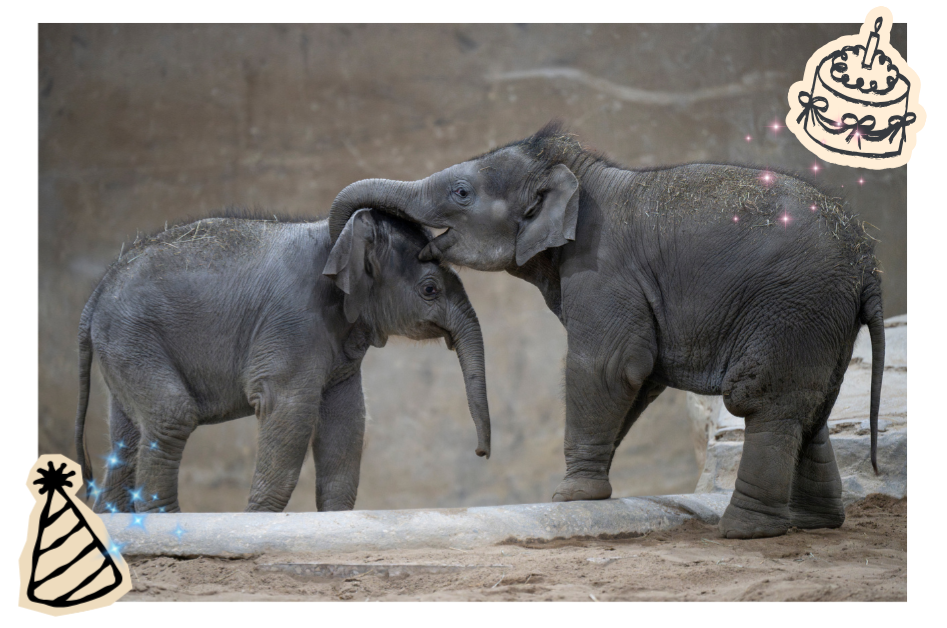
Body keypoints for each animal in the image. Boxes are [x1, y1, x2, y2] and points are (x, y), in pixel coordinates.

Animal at [74, 209, 491, 514]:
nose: (481, 453)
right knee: (170, 416)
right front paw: (257, 520)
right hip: (131, 337)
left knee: (128, 436)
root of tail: (97, 291)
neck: (338, 238)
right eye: (429, 289)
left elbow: (347, 419)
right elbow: (290, 411)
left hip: (125, 347)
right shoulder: (293, 322)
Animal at [326, 121, 886, 539]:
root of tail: (866, 259)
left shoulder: (603, 268)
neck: (580, 176)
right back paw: (815, 523)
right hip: (820, 317)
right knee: (811, 406)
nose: (482, 453)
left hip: (792, 303)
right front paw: (586, 487)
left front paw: (568, 495)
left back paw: (744, 530)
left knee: (762, 398)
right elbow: (641, 375)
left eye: (461, 193)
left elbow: (611, 366)